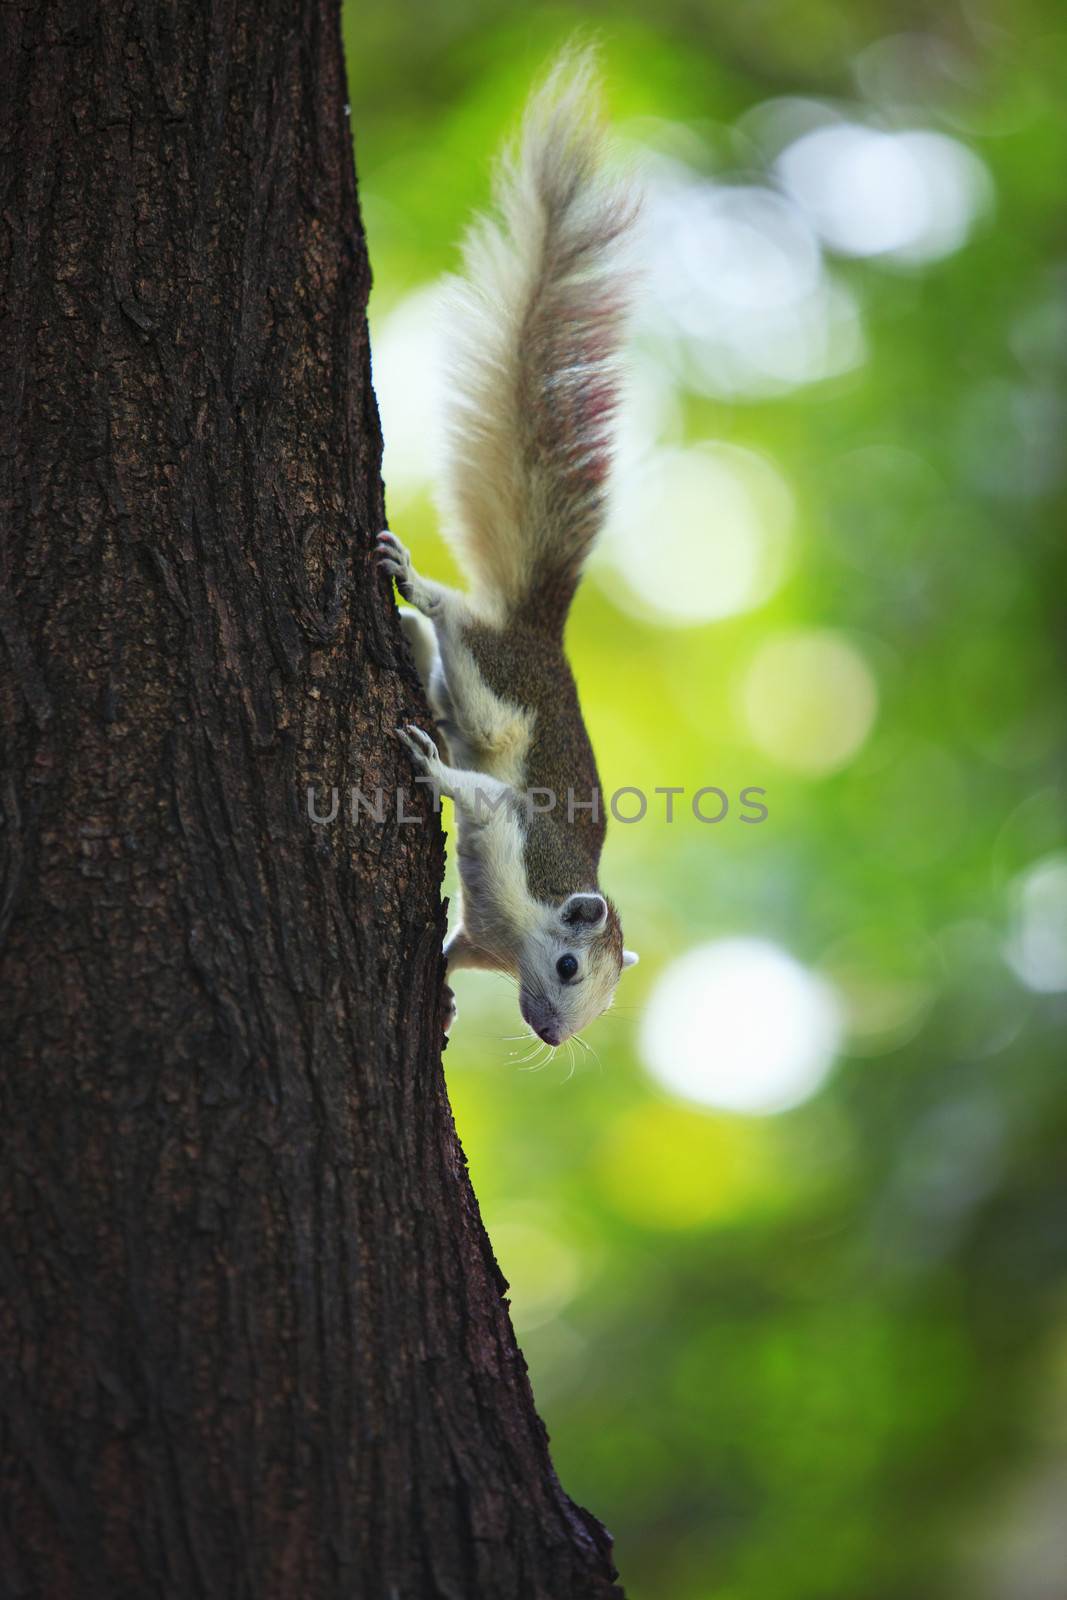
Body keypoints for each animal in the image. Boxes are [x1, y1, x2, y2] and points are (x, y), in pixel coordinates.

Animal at [377, 50, 639, 1043]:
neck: (517, 930)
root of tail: (543, 636)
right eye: (567, 965)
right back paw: (416, 590)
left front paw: (446, 998)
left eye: (597, 1008)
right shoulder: (518, 833)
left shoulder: (481, 932)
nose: (555, 1035)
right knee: (468, 640)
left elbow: (454, 951)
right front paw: (422, 769)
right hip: (505, 685)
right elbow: (476, 793)